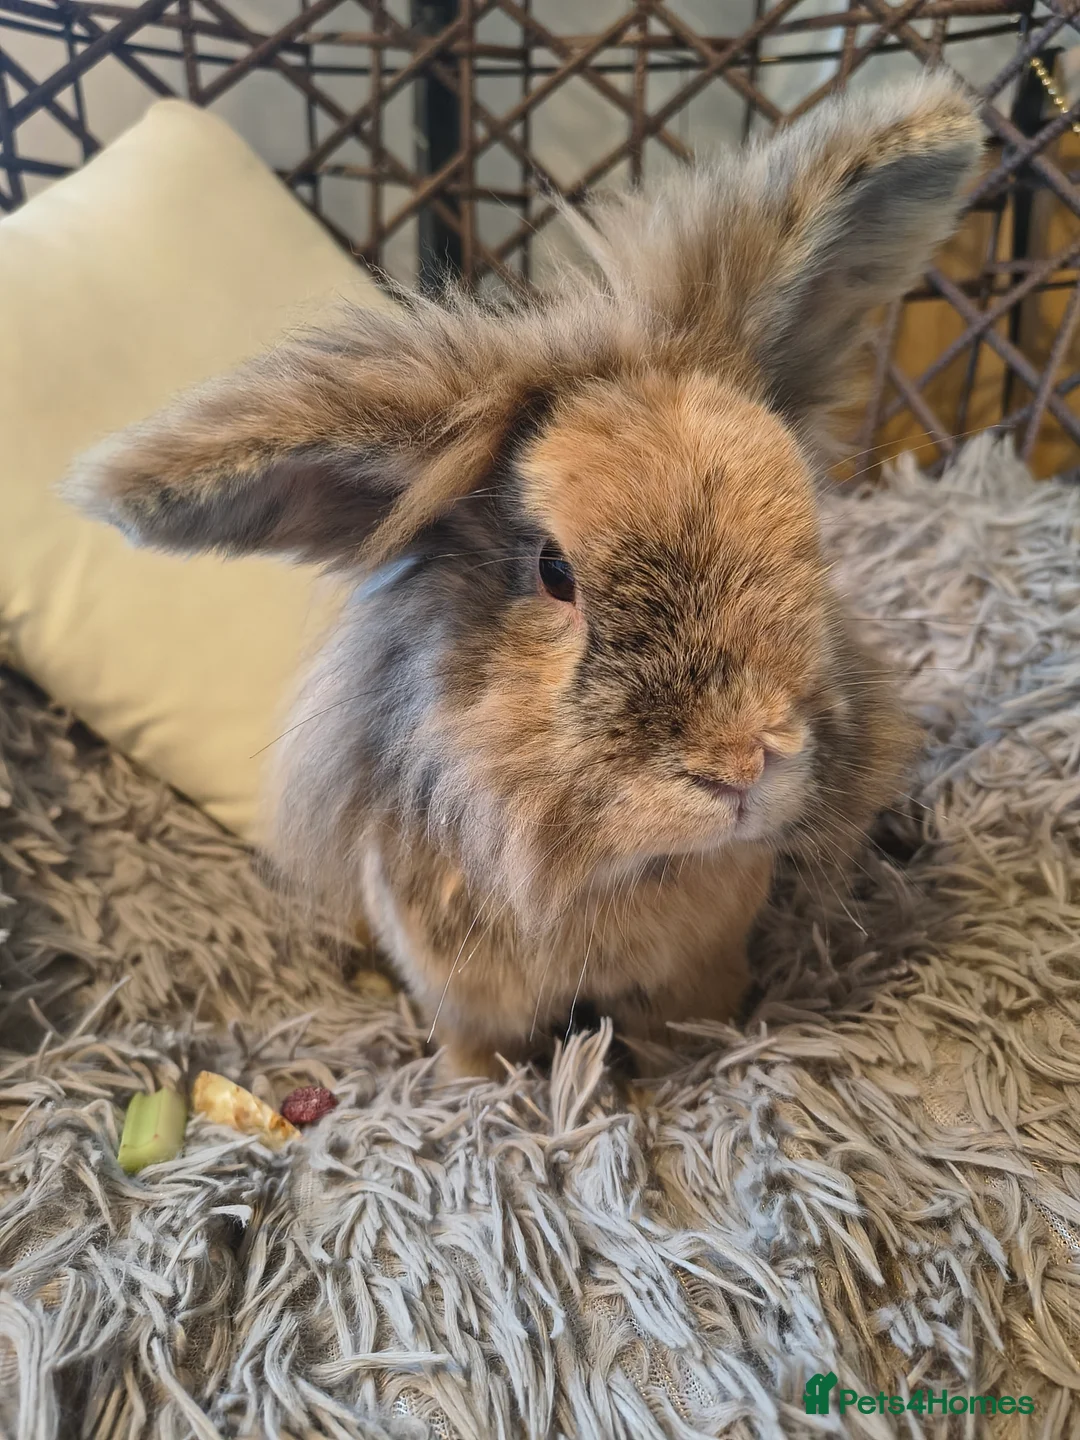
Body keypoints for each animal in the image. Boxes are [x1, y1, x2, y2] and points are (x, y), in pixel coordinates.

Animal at [67, 75, 982, 1081]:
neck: (604, 870)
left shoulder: (696, 974)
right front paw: (481, 1096)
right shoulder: (465, 998)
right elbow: (480, 1064)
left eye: (808, 528)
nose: (743, 763)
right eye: (554, 573)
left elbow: (678, 1042)